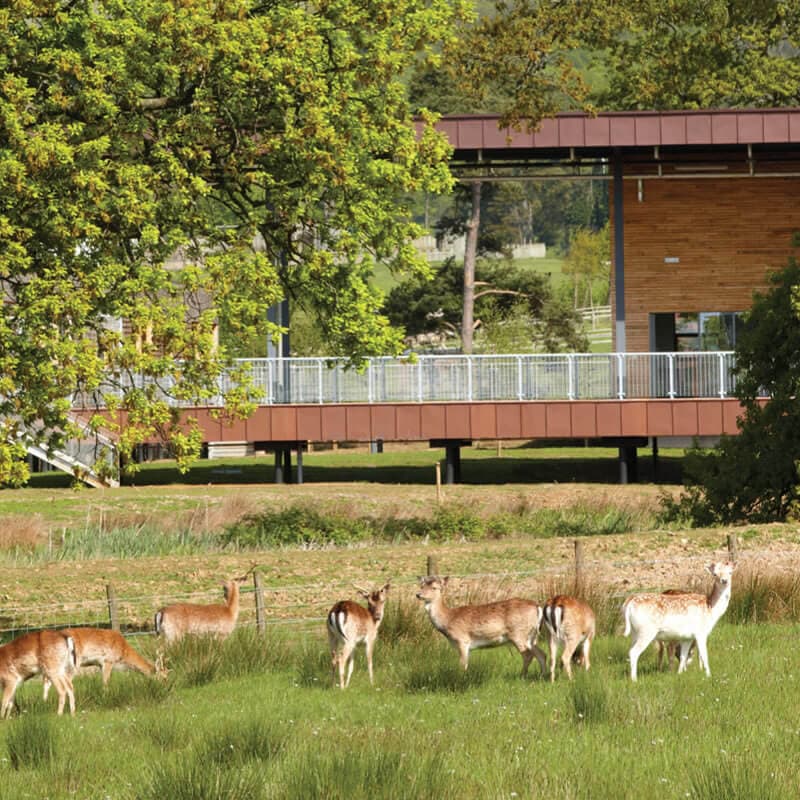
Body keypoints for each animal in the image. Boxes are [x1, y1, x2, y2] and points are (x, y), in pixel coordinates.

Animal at [416, 572, 548, 680]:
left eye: (434, 588)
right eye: (421, 586)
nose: (418, 594)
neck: (448, 620)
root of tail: (537, 607)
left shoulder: (462, 640)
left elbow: (462, 665)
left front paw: (460, 681)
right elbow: (466, 664)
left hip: (518, 633)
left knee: (528, 655)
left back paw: (522, 677)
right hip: (532, 636)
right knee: (541, 654)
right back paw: (542, 676)